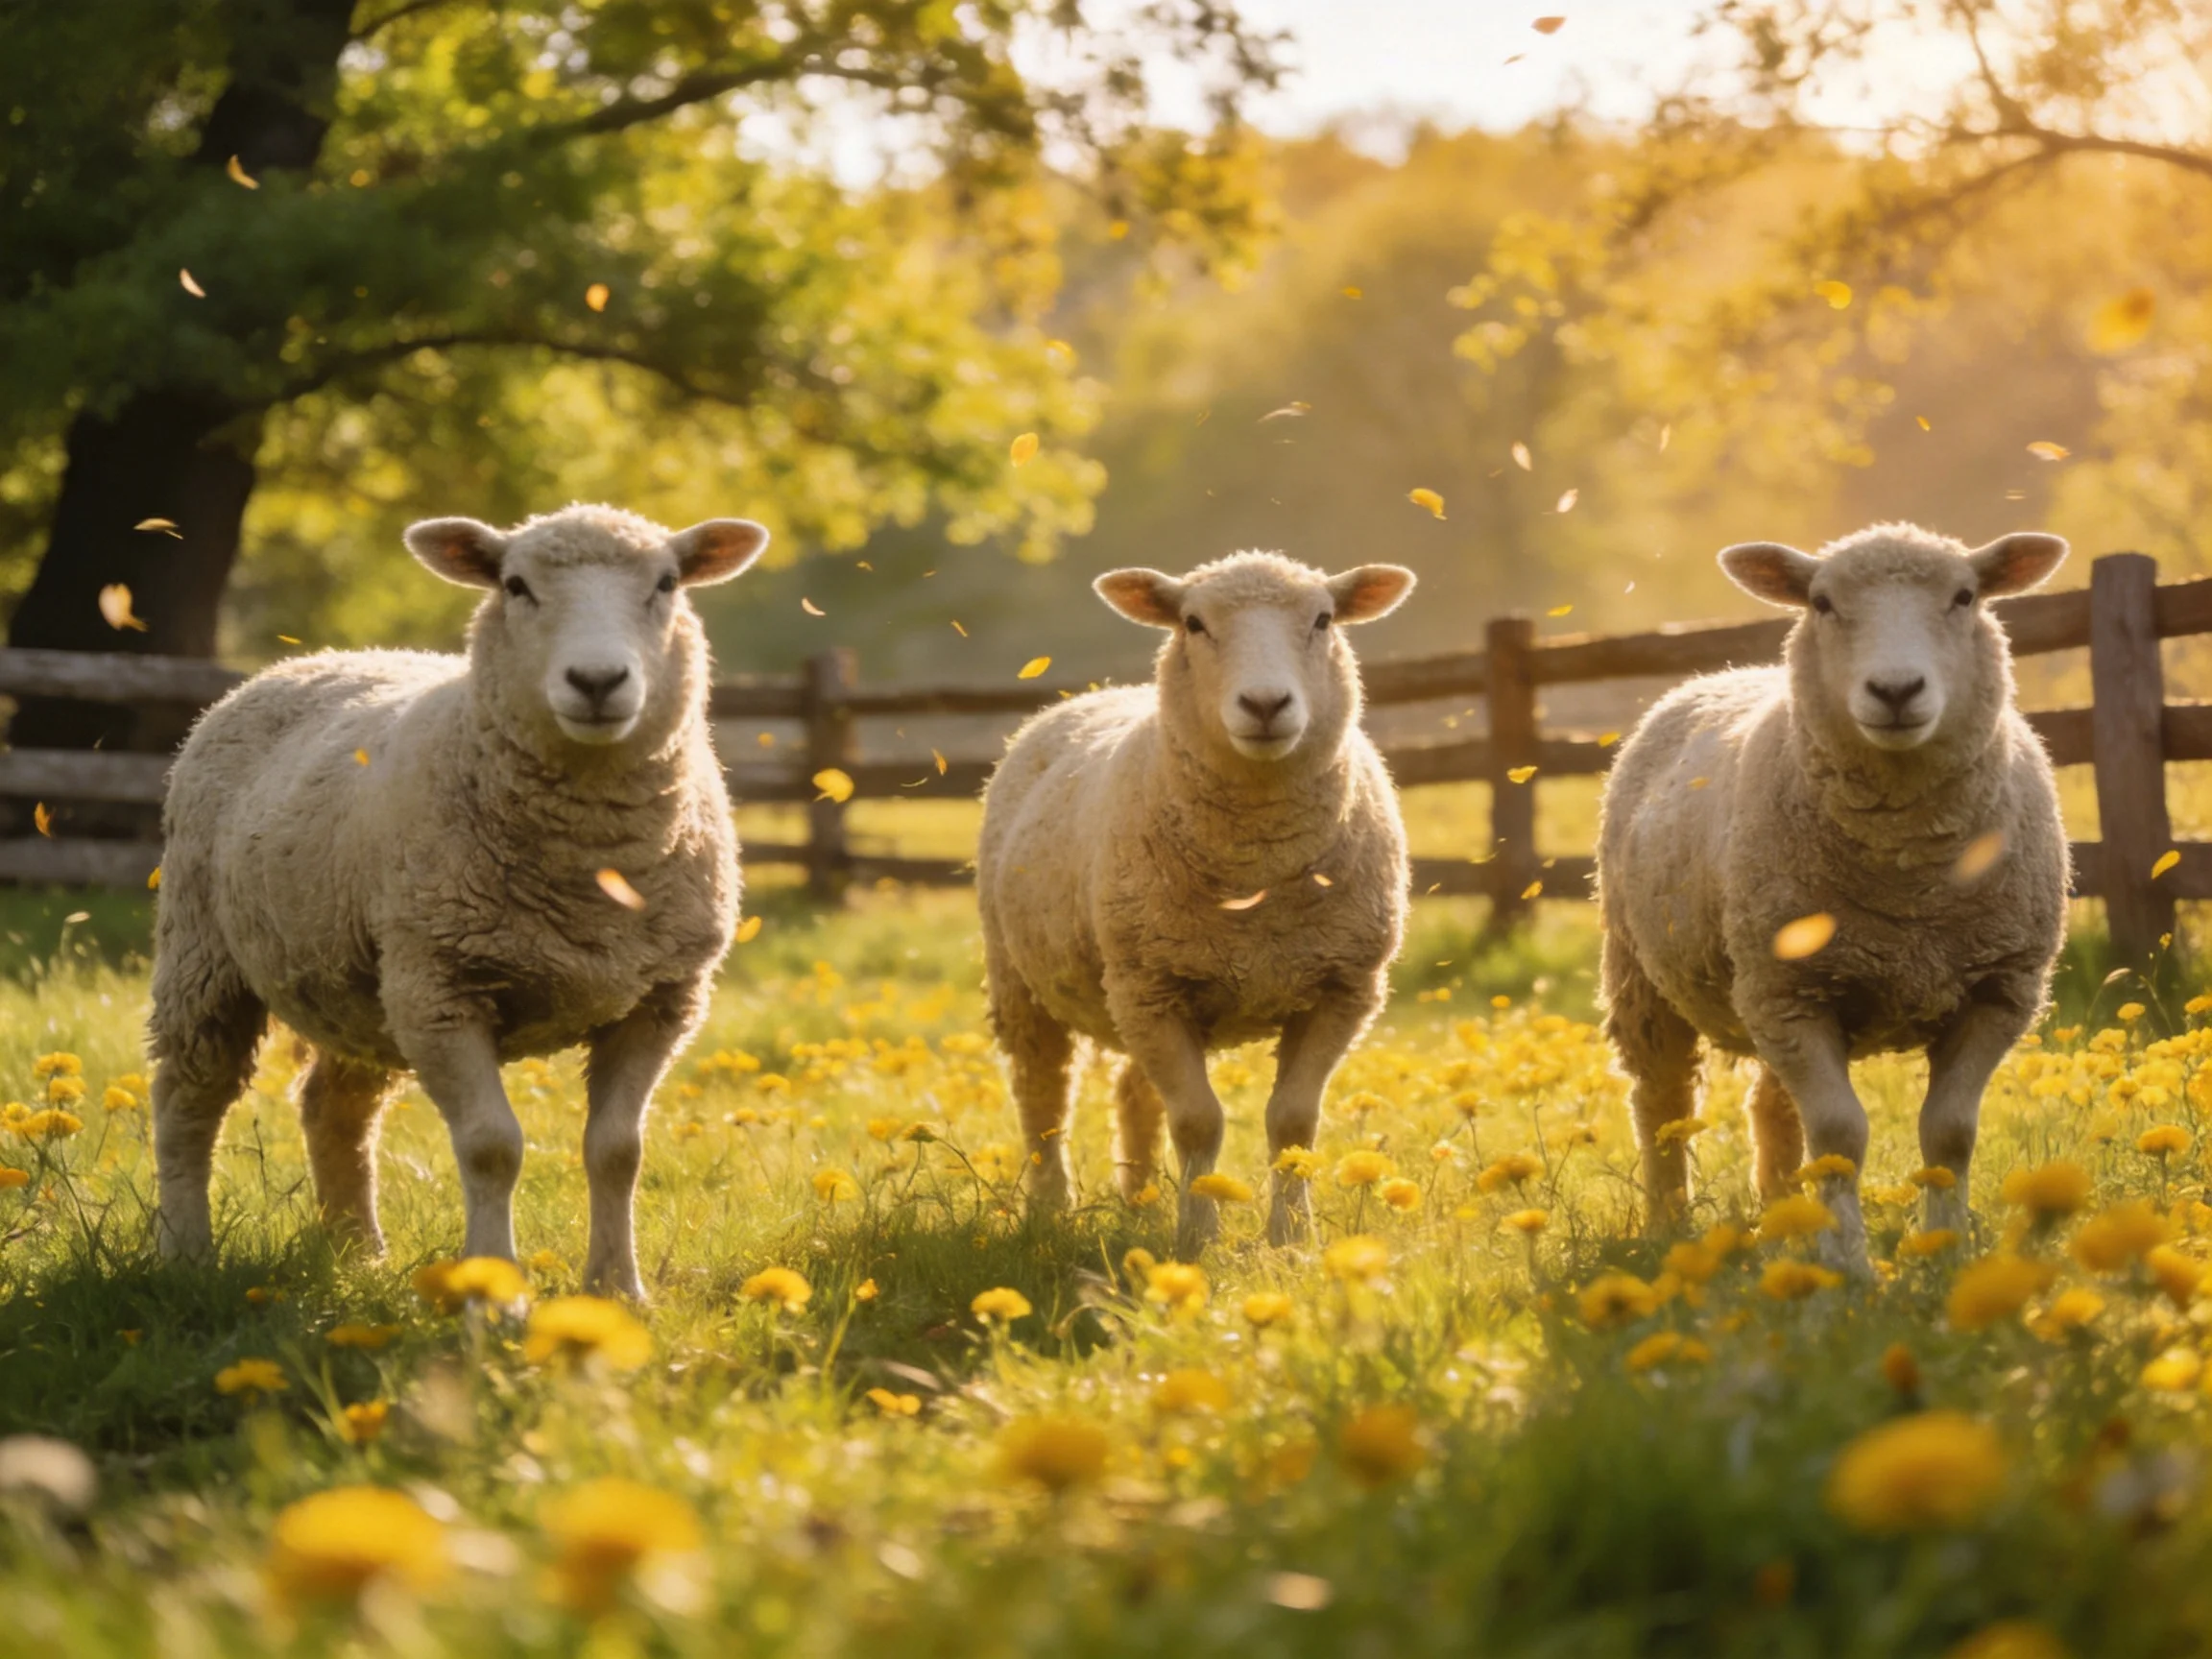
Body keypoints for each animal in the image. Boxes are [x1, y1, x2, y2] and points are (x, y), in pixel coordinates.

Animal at [150, 503, 766, 1297]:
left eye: (666, 583)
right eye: (515, 586)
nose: (597, 680)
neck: (589, 869)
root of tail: (304, 661)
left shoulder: (661, 1001)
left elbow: (617, 1150)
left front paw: (617, 1289)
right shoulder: (442, 991)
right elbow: (490, 1148)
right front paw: (494, 1295)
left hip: (361, 984)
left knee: (333, 1107)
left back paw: (358, 1253)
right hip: (208, 952)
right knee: (188, 1099)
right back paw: (185, 1252)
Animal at [977, 551, 1416, 1256]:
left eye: (1323, 619)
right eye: (1192, 623)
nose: (1265, 703)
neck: (1257, 882)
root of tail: (1101, 691)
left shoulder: (1343, 987)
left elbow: (1293, 1121)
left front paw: (1291, 1239)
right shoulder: (1152, 989)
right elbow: (1197, 1123)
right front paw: (1199, 1237)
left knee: (1133, 1093)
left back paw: (1139, 1201)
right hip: (1029, 980)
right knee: (1042, 1094)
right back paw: (1049, 1208)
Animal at [1596, 522, 2071, 1267]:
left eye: (1965, 596)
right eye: (1821, 602)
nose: (1896, 689)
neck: (1908, 884)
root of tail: (1719, 675)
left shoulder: (1999, 989)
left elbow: (1950, 1133)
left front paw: (1942, 1252)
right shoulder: (1791, 995)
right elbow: (1840, 1137)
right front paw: (1848, 1267)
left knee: (1771, 1108)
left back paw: (1785, 1216)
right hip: (1649, 976)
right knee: (1662, 1102)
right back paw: (1670, 1226)